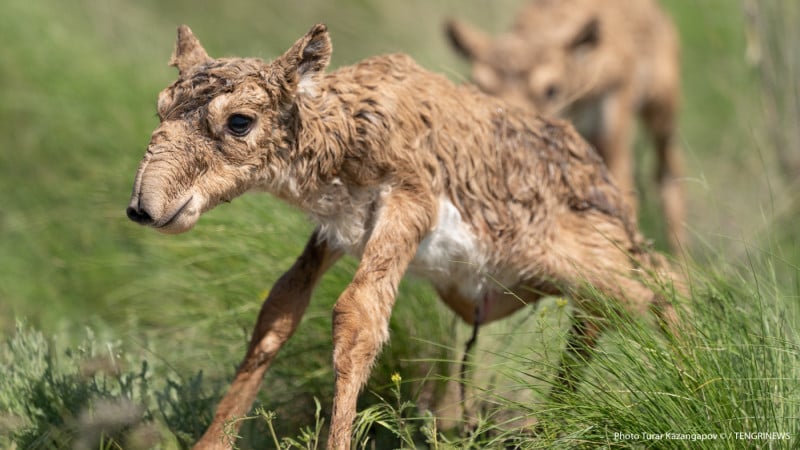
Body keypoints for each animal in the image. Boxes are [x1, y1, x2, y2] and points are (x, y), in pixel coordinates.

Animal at [125, 22, 680, 450]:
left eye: (239, 121)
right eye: (160, 107)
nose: (142, 208)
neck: (348, 123)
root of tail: (604, 182)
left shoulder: (409, 204)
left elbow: (358, 319)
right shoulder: (335, 232)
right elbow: (279, 311)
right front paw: (211, 442)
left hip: (580, 254)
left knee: (659, 285)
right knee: (610, 305)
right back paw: (550, 421)